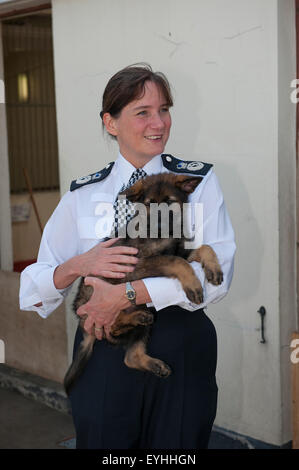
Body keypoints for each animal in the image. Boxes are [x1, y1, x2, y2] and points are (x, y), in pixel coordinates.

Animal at [63, 171, 223, 394]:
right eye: (149, 204)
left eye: (169, 202)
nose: (159, 226)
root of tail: (85, 329)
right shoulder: (137, 263)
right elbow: (176, 261)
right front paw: (193, 285)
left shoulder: (182, 251)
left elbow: (205, 248)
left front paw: (214, 269)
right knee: (111, 326)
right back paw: (132, 318)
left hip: (147, 313)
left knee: (130, 356)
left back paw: (150, 354)